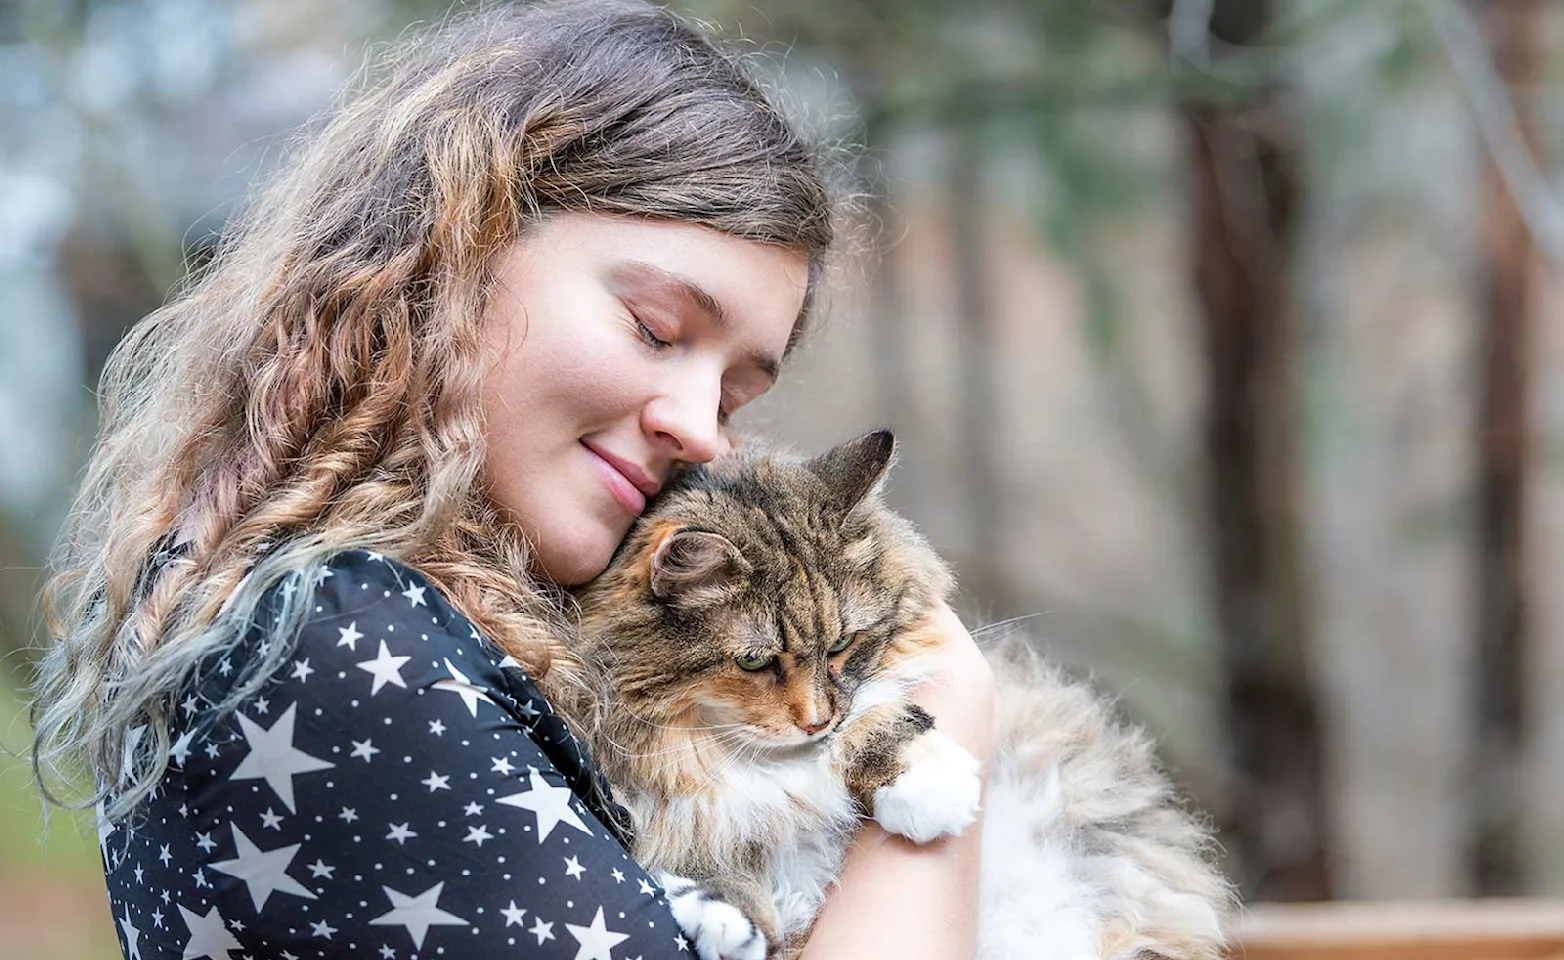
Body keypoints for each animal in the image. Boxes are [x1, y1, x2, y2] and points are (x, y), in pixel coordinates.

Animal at [566, 434, 1232, 960]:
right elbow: (717, 845)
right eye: (754, 661)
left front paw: (920, 782)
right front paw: (719, 907)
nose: (815, 722)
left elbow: (872, 712)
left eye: (842, 643)